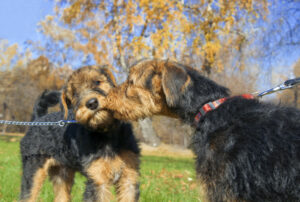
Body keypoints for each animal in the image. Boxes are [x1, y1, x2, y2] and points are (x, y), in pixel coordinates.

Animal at [19, 65, 139, 201]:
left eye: (97, 82)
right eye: (75, 93)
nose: (92, 103)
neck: (106, 132)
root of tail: (38, 119)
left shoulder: (129, 178)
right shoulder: (98, 180)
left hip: (62, 174)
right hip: (33, 171)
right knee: (27, 196)